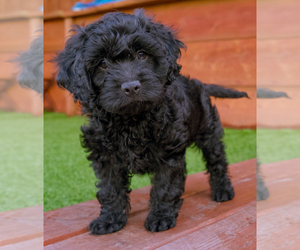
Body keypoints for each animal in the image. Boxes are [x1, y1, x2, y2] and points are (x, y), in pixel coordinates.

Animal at [55, 9, 247, 234]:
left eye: (142, 54)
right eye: (102, 63)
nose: (131, 86)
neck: (132, 120)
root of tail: (198, 83)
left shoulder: (169, 152)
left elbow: (165, 186)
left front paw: (160, 217)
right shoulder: (104, 154)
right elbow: (110, 188)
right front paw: (110, 219)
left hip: (208, 130)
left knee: (217, 160)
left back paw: (223, 190)